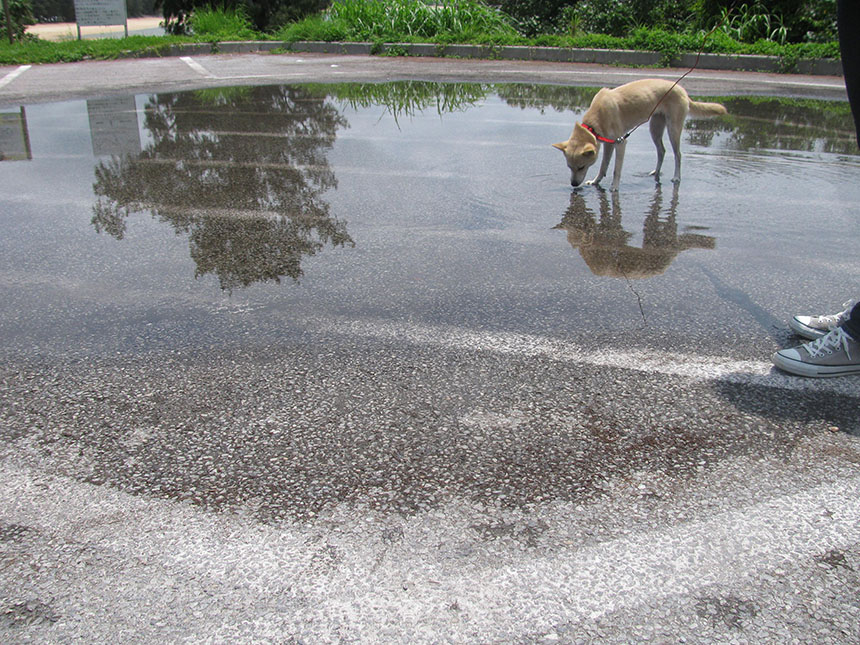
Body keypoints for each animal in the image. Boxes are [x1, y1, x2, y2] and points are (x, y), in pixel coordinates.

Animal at [556, 79, 724, 190]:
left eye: (581, 167)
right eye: (569, 167)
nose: (573, 184)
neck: (596, 119)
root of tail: (682, 90)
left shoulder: (620, 143)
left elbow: (616, 169)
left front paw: (614, 187)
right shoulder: (609, 144)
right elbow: (603, 166)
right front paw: (596, 182)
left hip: (673, 129)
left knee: (678, 154)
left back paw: (677, 177)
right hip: (655, 128)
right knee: (661, 151)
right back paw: (656, 172)